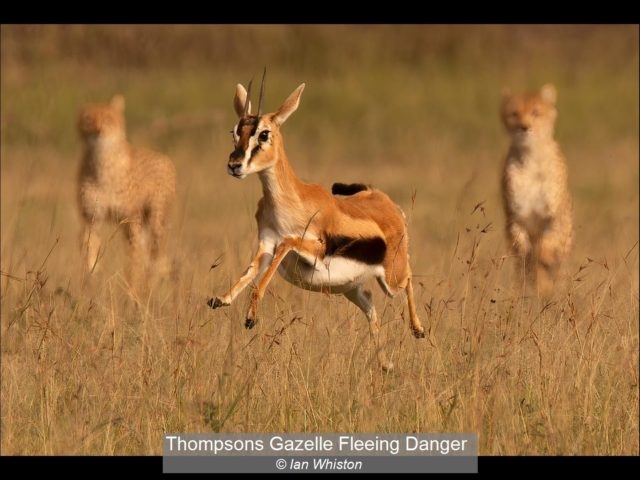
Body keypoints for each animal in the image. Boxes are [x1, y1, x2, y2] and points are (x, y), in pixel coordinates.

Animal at [207, 69, 425, 371]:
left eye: (264, 133)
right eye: (235, 132)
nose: (234, 165)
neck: (292, 202)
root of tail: (385, 200)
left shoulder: (314, 250)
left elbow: (286, 243)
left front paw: (251, 317)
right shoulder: (265, 244)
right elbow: (250, 270)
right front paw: (221, 299)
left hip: (392, 280)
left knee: (409, 278)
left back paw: (419, 330)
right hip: (351, 289)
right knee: (371, 304)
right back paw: (386, 364)